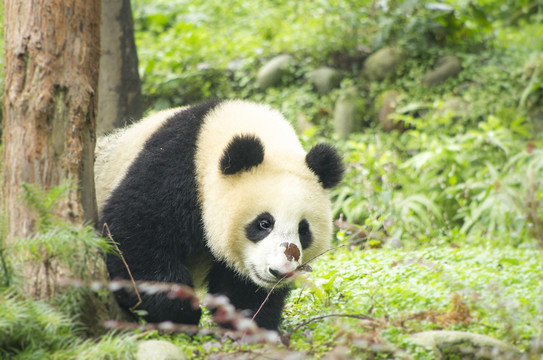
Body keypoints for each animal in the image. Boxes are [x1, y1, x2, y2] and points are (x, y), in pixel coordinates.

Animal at [95, 99, 344, 330]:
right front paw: (181, 312)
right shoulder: (172, 169)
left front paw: (249, 323)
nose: (279, 271)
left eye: (303, 231)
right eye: (264, 223)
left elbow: (244, 287)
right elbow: (133, 237)